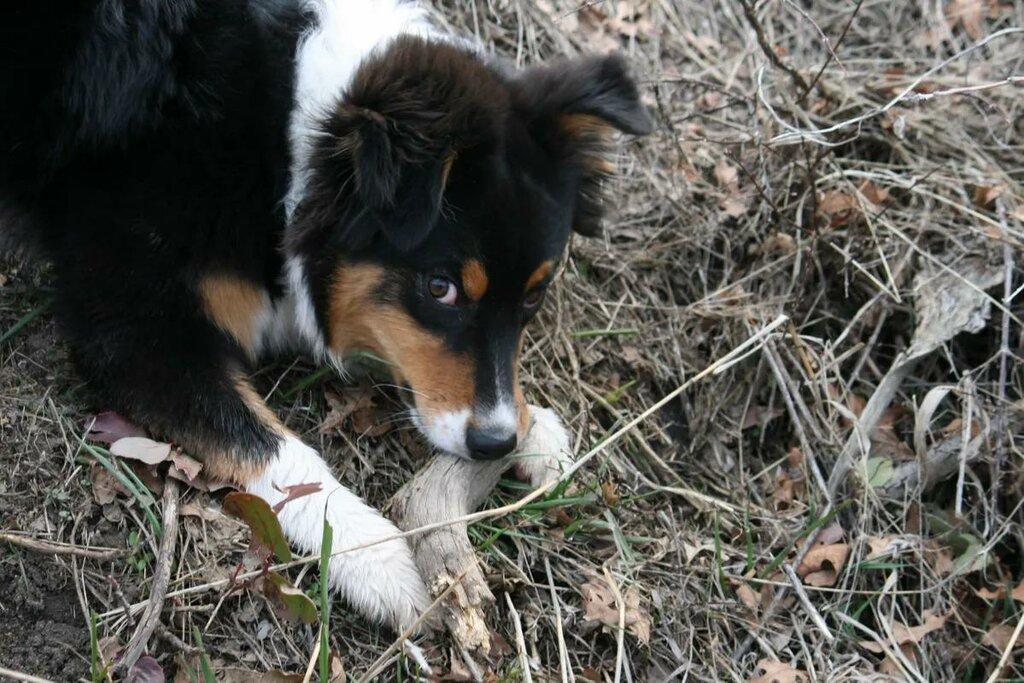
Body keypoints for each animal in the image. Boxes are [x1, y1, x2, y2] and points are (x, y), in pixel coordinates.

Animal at [0, 0, 651, 630]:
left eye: (534, 296)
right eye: (439, 288)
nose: (495, 442)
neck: (287, 146)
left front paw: (536, 429)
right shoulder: (132, 324)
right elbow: (277, 448)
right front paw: (376, 558)